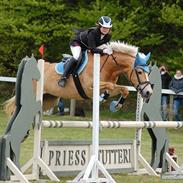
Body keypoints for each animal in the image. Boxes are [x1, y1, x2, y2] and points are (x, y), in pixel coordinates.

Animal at [3, 41, 153, 116]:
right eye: (139, 72)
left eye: (148, 72)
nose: (148, 92)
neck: (108, 66)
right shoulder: (89, 88)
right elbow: (110, 87)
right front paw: (103, 99)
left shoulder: (111, 87)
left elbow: (123, 90)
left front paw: (115, 106)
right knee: (17, 109)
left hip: (49, 99)